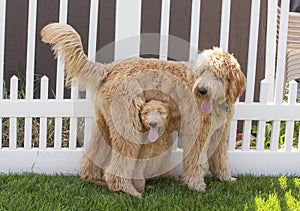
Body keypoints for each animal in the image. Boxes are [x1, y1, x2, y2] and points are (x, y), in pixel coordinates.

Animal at [40, 22, 246, 196]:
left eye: (217, 74)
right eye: (202, 72)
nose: (202, 90)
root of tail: (110, 68)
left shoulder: (219, 133)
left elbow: (220, 158)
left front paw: (226, 178)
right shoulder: (198, 132)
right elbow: (196, 161)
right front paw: (196, 185)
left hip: (104, 124)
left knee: (93, 155)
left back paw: (93, 178)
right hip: (129, 127)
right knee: (117, 168)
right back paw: (128, 190)